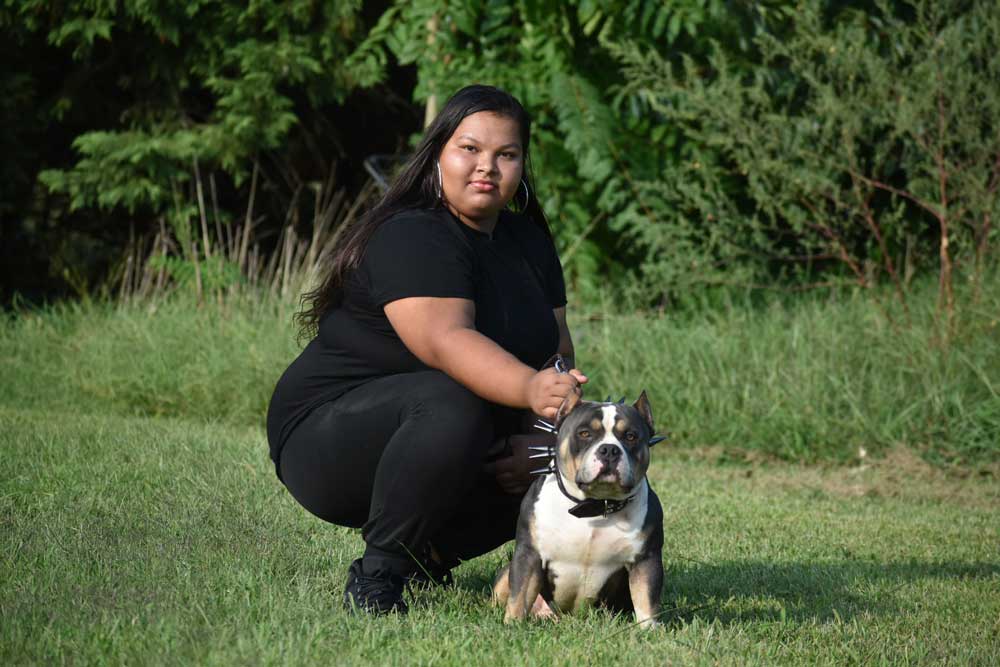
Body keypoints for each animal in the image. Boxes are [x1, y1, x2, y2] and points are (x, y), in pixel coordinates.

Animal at [492, 388, 664, 628]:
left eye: (630, 436)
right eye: (584, 433)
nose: (609, 450)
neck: (592, 506)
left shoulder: (645, 560)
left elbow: (646, 598)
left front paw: (648, 629)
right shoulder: (529, 554)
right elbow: (520, 593)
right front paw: (513, 624)